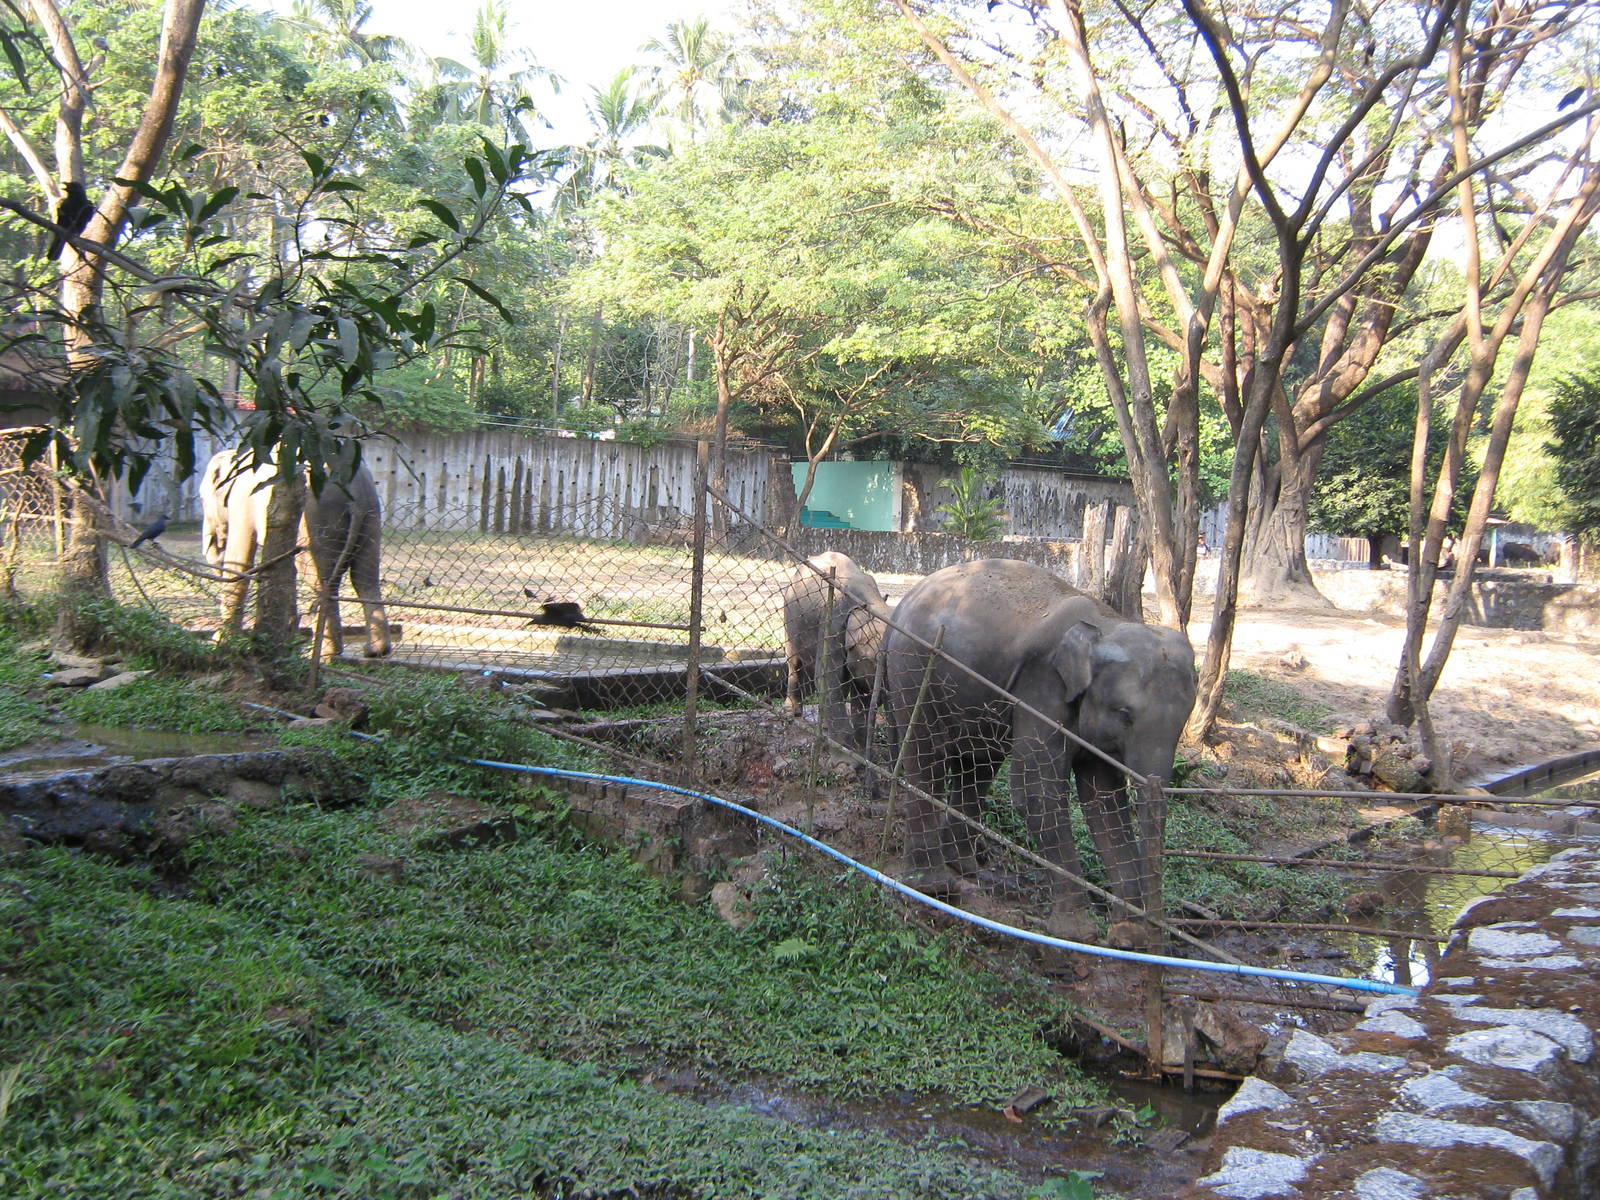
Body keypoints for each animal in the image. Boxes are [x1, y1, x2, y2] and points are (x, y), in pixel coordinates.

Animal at [200, 447, 392, 658]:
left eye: (201, 499)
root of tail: (355, 490)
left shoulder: (243, 499)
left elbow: (240, 561)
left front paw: (220, 642)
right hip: (371, 514)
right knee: (365, 578)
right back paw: (374, 651)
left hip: (317, 518)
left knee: (322, 581)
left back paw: (324, 655)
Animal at [780, 551, 891, 752]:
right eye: (876, 661)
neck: (870, 603)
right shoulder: (831, 624)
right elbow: (826, 678)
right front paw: (843, 753)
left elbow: (861, 691)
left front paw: (858, 750)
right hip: (789, 616)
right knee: (794, 662)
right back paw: (792, 713)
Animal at [880, 558, 1196, 938]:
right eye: (1125, 714)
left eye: (1182, 721)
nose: (1152, 933)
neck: (1106, 625)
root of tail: (902, 604)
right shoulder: (1042, 687)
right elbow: (1038, 792)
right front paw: (1078, 933)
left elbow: (1104, 803)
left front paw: (1126, 935)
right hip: (914, 668)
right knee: (926, 756)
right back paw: (933, 886)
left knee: (979, 763)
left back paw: (970, 871)